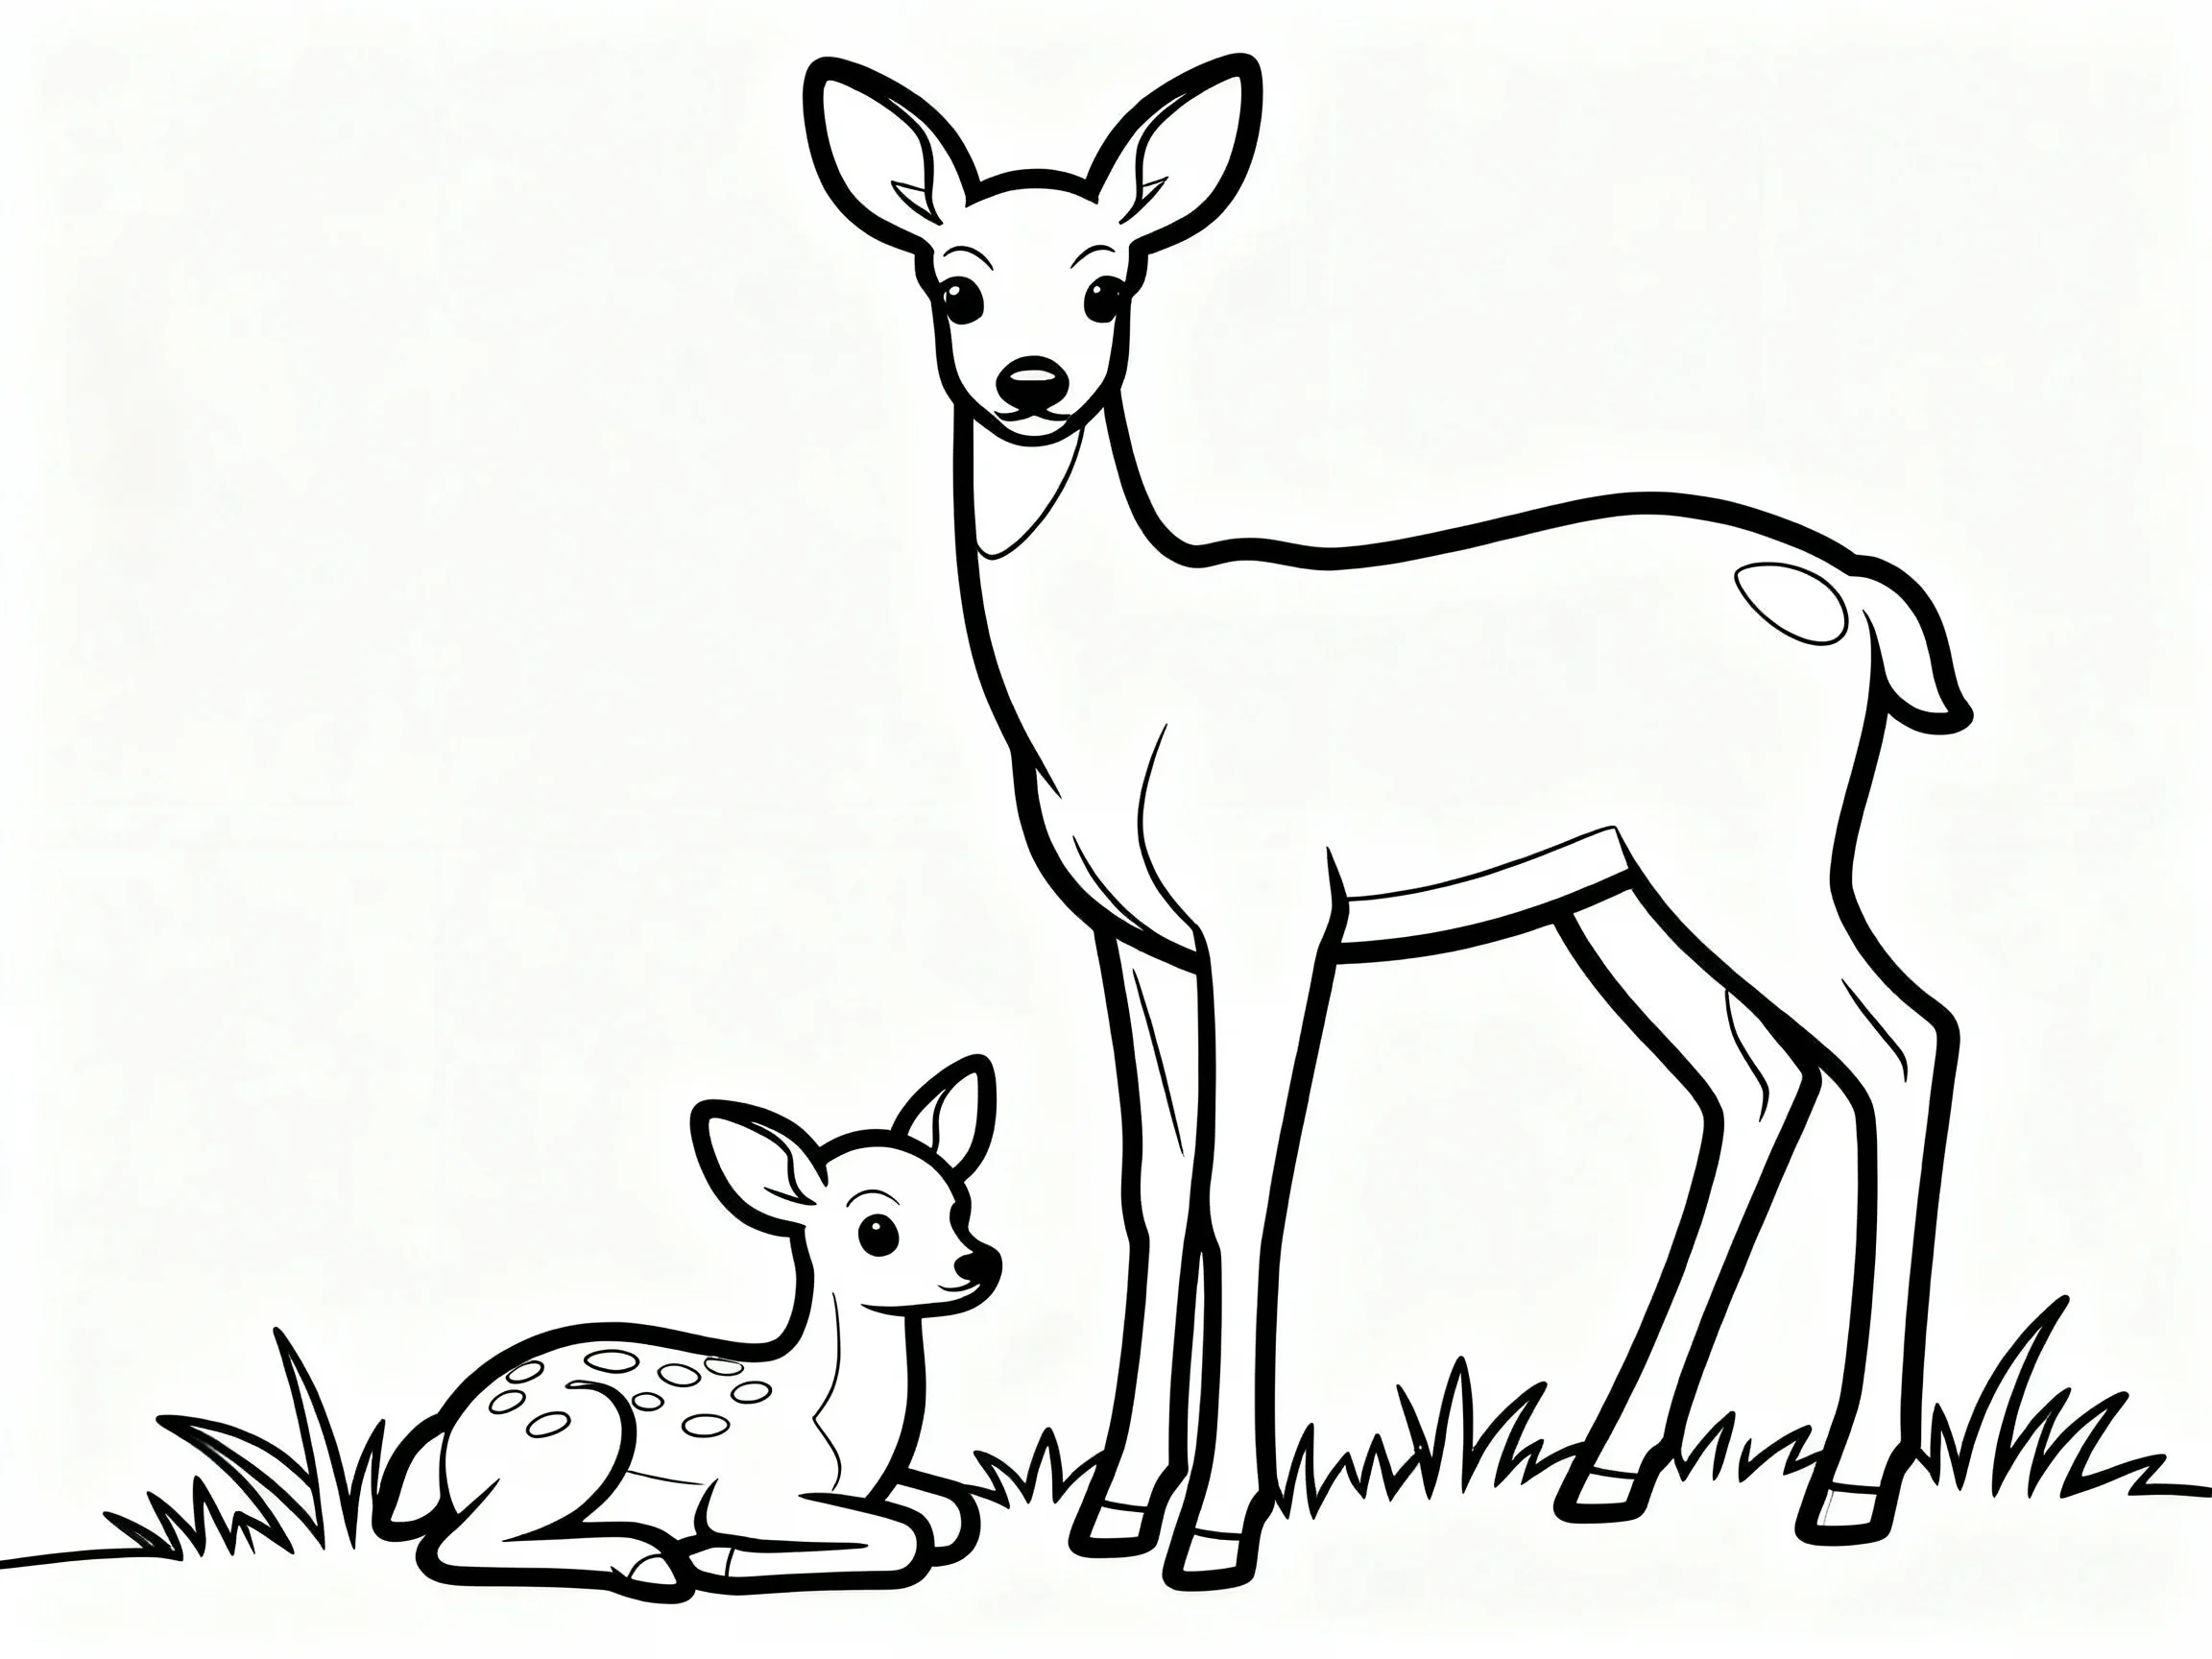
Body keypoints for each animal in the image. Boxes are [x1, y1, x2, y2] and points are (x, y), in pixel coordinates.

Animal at [373, 1056, 1000, 1599]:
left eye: (957, 1206)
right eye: (877, 1230)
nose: (977, 1264)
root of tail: (450, 1435)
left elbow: (945, 1515)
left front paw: (718, 1557)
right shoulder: (751, 1492)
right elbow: (906, 1534)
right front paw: (723, 1558)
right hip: (576, 1432)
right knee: (458, 1545)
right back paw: (645, 1559)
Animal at [804, 54, 1970, 1590]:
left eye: (1110, 283)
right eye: (956, 283)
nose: (1032, 385)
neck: (1115, 689)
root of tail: (1852, 594)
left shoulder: (1274, 911)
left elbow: (1248, 1189)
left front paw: (1217, 1524)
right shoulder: (1134, 939)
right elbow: (1155, 1187)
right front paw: (1115, 1506)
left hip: (1753, 850)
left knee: (1900, 1041)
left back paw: (1849, 1484)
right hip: (1619, 890)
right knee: (1757, 1078)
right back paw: (1610, 1467)